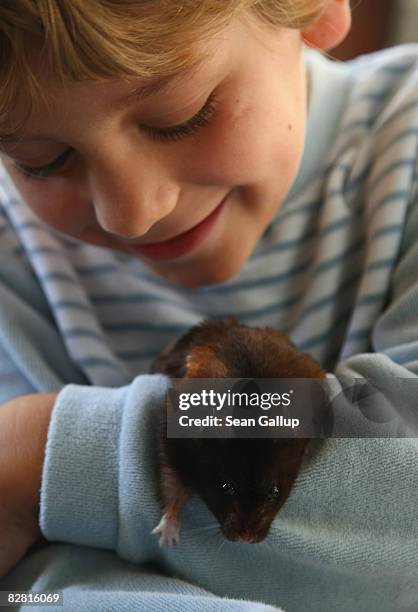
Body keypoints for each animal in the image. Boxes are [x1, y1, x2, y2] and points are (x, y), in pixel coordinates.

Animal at [151, 316, 326, 544]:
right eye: (227, 488)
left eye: (274, 492)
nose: (246, 538)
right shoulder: (174, 437)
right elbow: (172, 484)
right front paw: (167, 538)